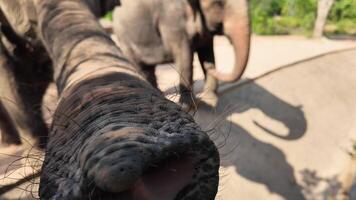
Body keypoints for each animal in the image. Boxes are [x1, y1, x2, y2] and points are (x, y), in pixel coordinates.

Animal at [113, 0, 250, 109]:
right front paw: (186, 105)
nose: (210, 67)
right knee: (140, 66)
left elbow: (207, 52)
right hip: (124, 38)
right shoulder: (172, 19)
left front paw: (210, 100)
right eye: (218, 3)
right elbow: (185, 56)